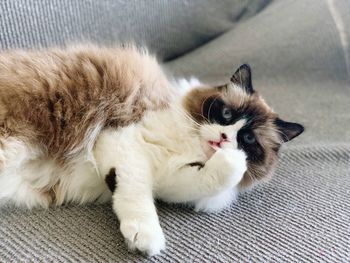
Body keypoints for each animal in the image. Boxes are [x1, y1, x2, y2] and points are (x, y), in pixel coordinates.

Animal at [0, 44, 302, 256]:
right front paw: (145, 239)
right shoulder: (122, 142)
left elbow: (212, 178)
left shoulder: (171, 181)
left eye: (248, 138)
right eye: (226, 114)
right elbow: (136, 195)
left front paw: (232, 161)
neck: (189, 147)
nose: (224, 137)